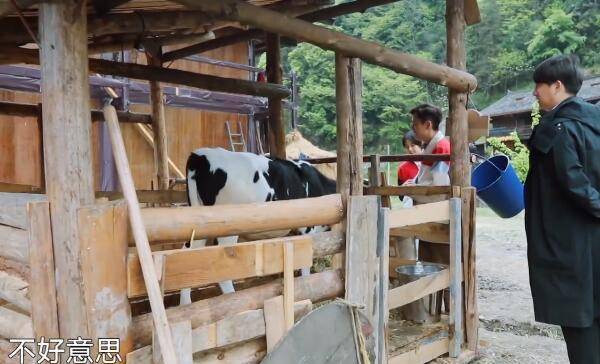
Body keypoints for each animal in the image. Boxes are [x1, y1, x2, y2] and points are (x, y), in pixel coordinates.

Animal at [178, 146, 338, 302]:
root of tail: (199, 155)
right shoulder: (307, 228)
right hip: (227, 228)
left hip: (199, 224)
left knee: (188, 254)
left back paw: (185, 304)